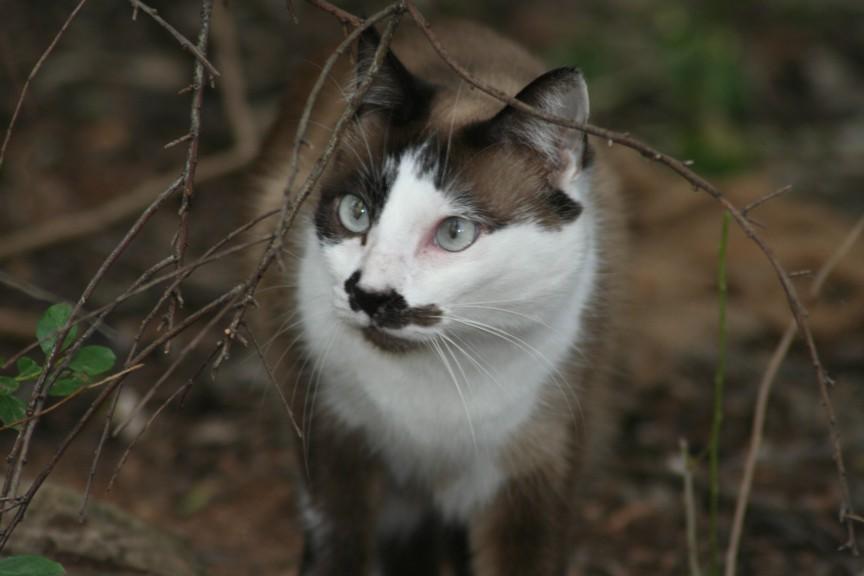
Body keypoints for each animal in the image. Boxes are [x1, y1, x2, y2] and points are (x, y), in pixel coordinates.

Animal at [253, 18, 624, 576]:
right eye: (355, 213)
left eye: (454, 233)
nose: (368, 296)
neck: (437, 369)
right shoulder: (332, 434)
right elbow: (339, 544)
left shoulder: (536, 466)